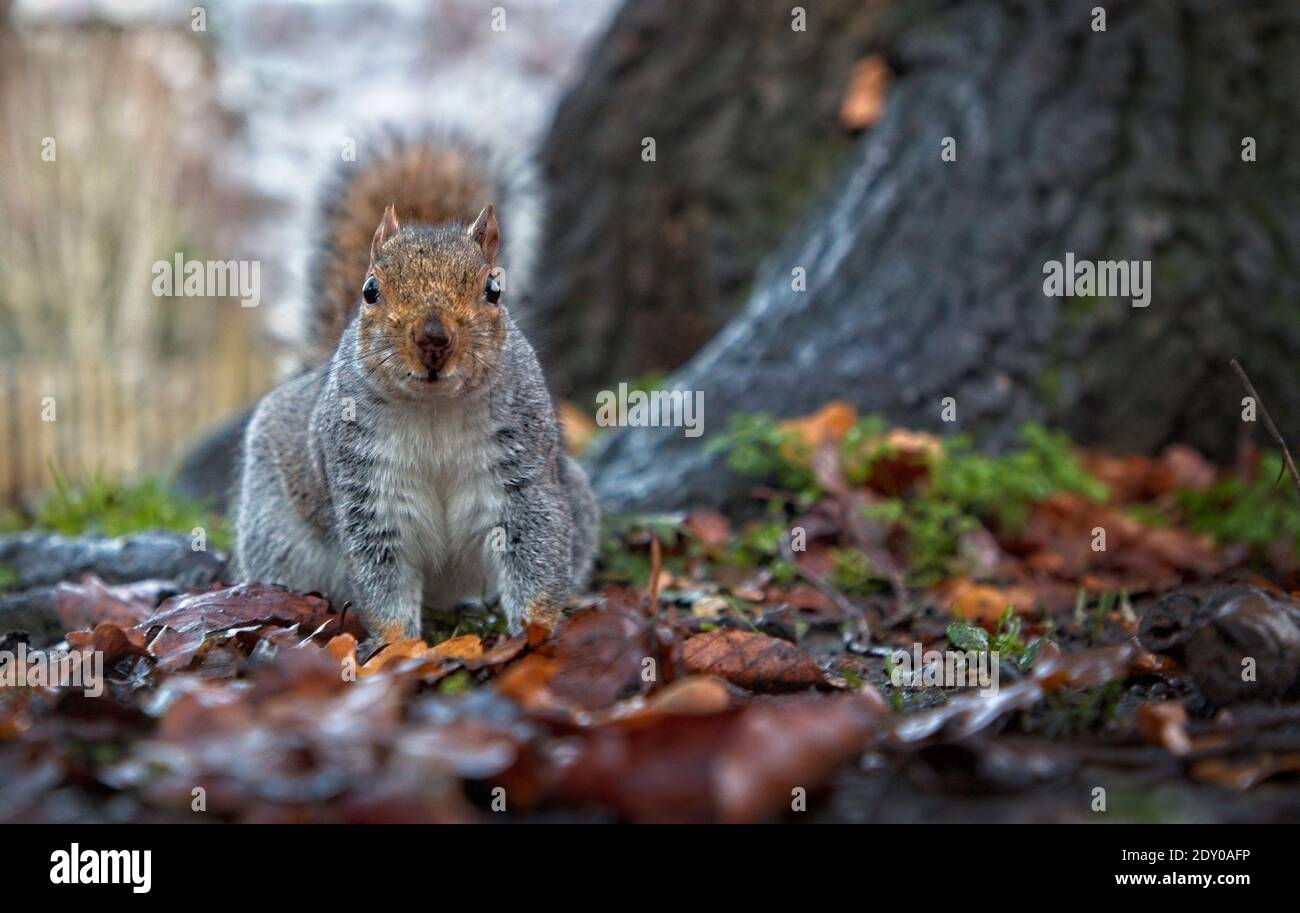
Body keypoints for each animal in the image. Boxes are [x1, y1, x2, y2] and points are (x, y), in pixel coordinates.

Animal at [232, 135, 598, 639]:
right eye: (370, 290)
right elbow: (382, 575)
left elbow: (536, 550)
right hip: (275, 533)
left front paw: (535, 631)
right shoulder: (367, 490)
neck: (434, 409)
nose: (433, 339)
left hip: (577, 502)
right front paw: (398, 645)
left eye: (494, 290)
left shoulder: (524, 478)